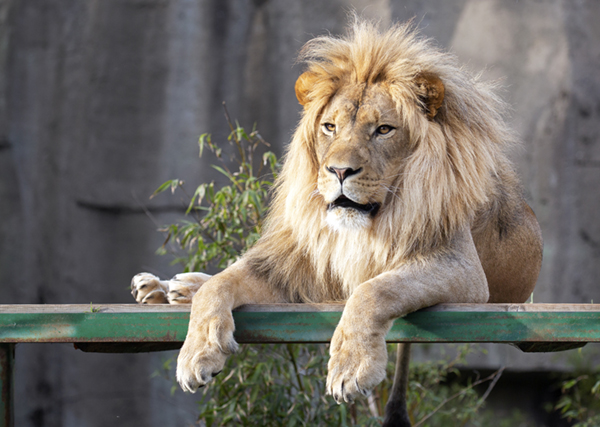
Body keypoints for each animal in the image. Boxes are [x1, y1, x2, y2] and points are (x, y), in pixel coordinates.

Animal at [132, 18, 544, 426]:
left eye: (383, 130)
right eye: (330, 127)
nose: (340, 171)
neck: (367, 225)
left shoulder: (462, 269)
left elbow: (374, 290)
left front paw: (351, 366)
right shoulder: (298, 263)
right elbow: (220, 285)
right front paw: (196, 355)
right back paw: (165, 287)